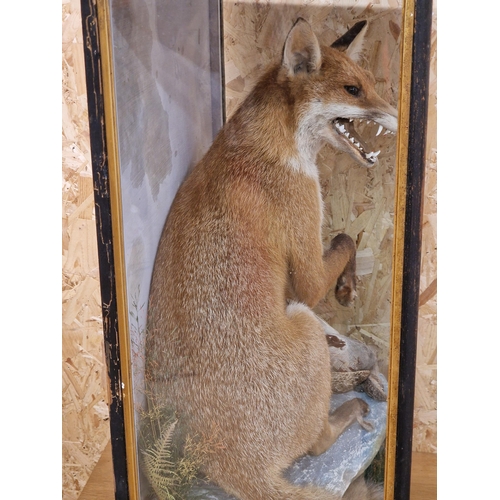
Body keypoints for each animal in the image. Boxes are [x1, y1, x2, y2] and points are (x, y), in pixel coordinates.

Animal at [146, 17, 398, 500]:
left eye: (373, 85)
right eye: (353, 90)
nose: (399, 116)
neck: (268, 146)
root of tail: (237, 468)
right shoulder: (306, 259)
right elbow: (343, 240)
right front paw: (347, 286)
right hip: (304, 321)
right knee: (317, 443)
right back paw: (350, 409)